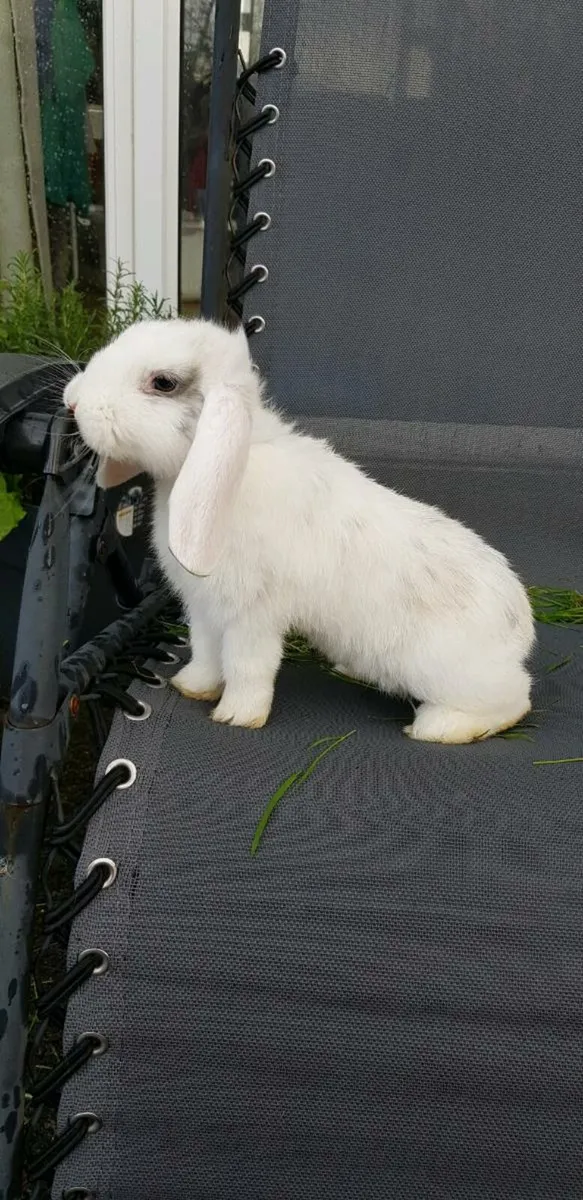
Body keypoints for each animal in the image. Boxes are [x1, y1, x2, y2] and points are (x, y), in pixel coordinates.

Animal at [64, 317, 535, 744]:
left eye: (163, 382)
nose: (72, 401)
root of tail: (520, 624)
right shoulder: (205, 609)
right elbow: (205, 653)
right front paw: (191, 687)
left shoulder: (252, 616)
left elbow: (247, 667)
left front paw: (237, 716)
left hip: (445, 671)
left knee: (515, 699)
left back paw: (438, 728)